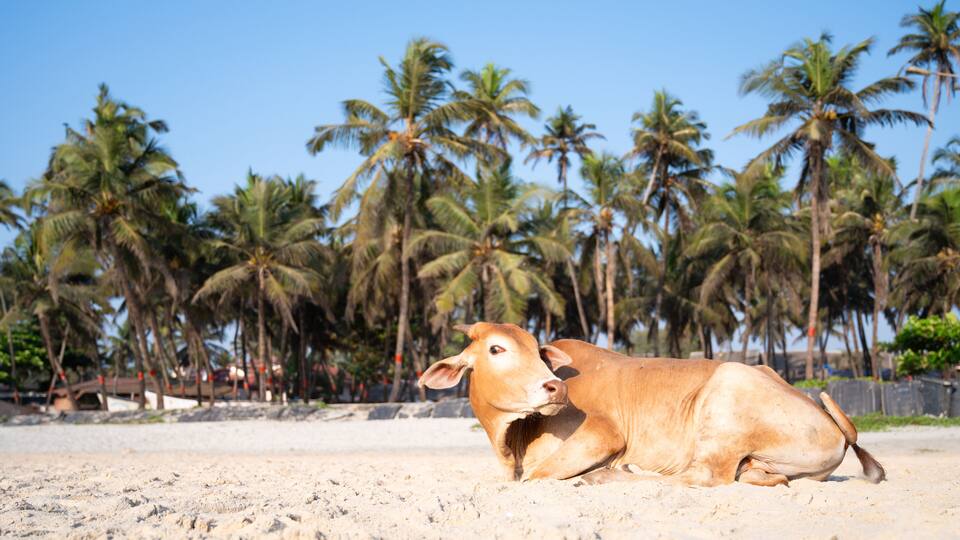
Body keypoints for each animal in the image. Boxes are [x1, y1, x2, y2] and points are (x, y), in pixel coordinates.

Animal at [418, 322, 885, 487]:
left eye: (537, 349)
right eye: (496, 349)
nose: (555, 388)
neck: (513, 439)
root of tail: (837, 428)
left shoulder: (602, 433)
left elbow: (536, 475)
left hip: (726, 394)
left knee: (703, 477)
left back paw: (619, 474)